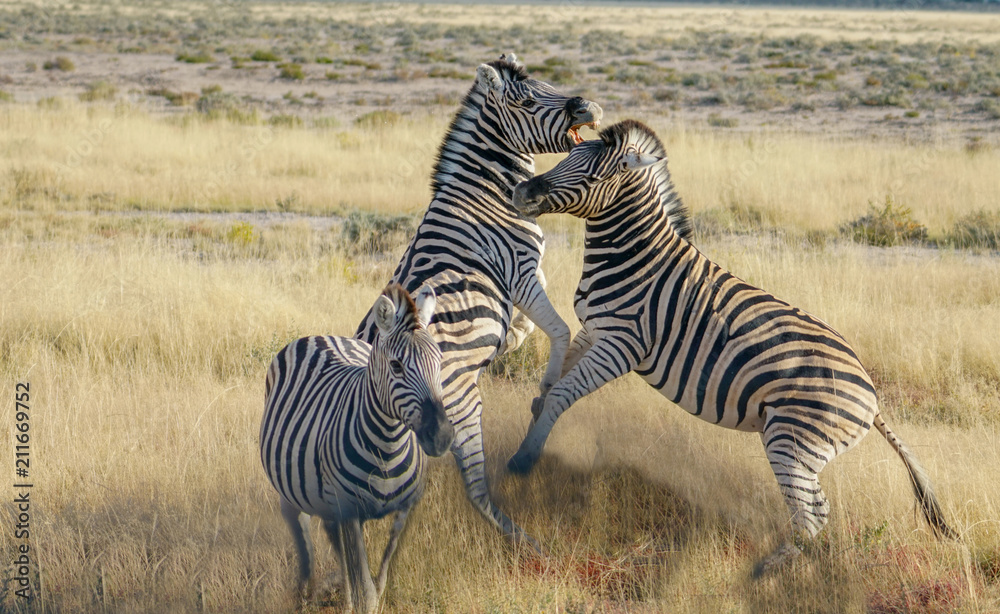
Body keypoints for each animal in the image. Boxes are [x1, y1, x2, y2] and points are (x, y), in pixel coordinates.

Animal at [260, 283, 453, 612]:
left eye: (440, 362)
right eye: (396, 366)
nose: (440, 436)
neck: (388, 447)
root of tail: (320, 335)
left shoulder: (406, 508)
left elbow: (381, 577)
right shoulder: (349, 510)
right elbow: (367, 589)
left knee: (333, 539)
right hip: (292, 491)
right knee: (303, 534)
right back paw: (305, 592)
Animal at [354, 54, 602, 547]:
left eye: (547, 82)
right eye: (527, 101)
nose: (585, 104)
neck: (484, 192)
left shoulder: (526, 273)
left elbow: (536, 323)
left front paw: (513, 337)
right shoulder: (520, 271)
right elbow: (560, 328)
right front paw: (545, 385)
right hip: (461, 406)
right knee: (475, 487)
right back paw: (525, 541)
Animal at [507, 119, 957, 575]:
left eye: (596, 176)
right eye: (566, 156)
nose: (521, 192)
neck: (635, 259)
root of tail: (873, 396)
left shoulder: (622, 343)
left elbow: (563, 393)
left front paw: (524, 459)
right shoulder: (594, 330)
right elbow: (550, 385)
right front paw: (532, 425)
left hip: (791, 440)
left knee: (812, 513)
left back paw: (764, 572)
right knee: (813, 512)